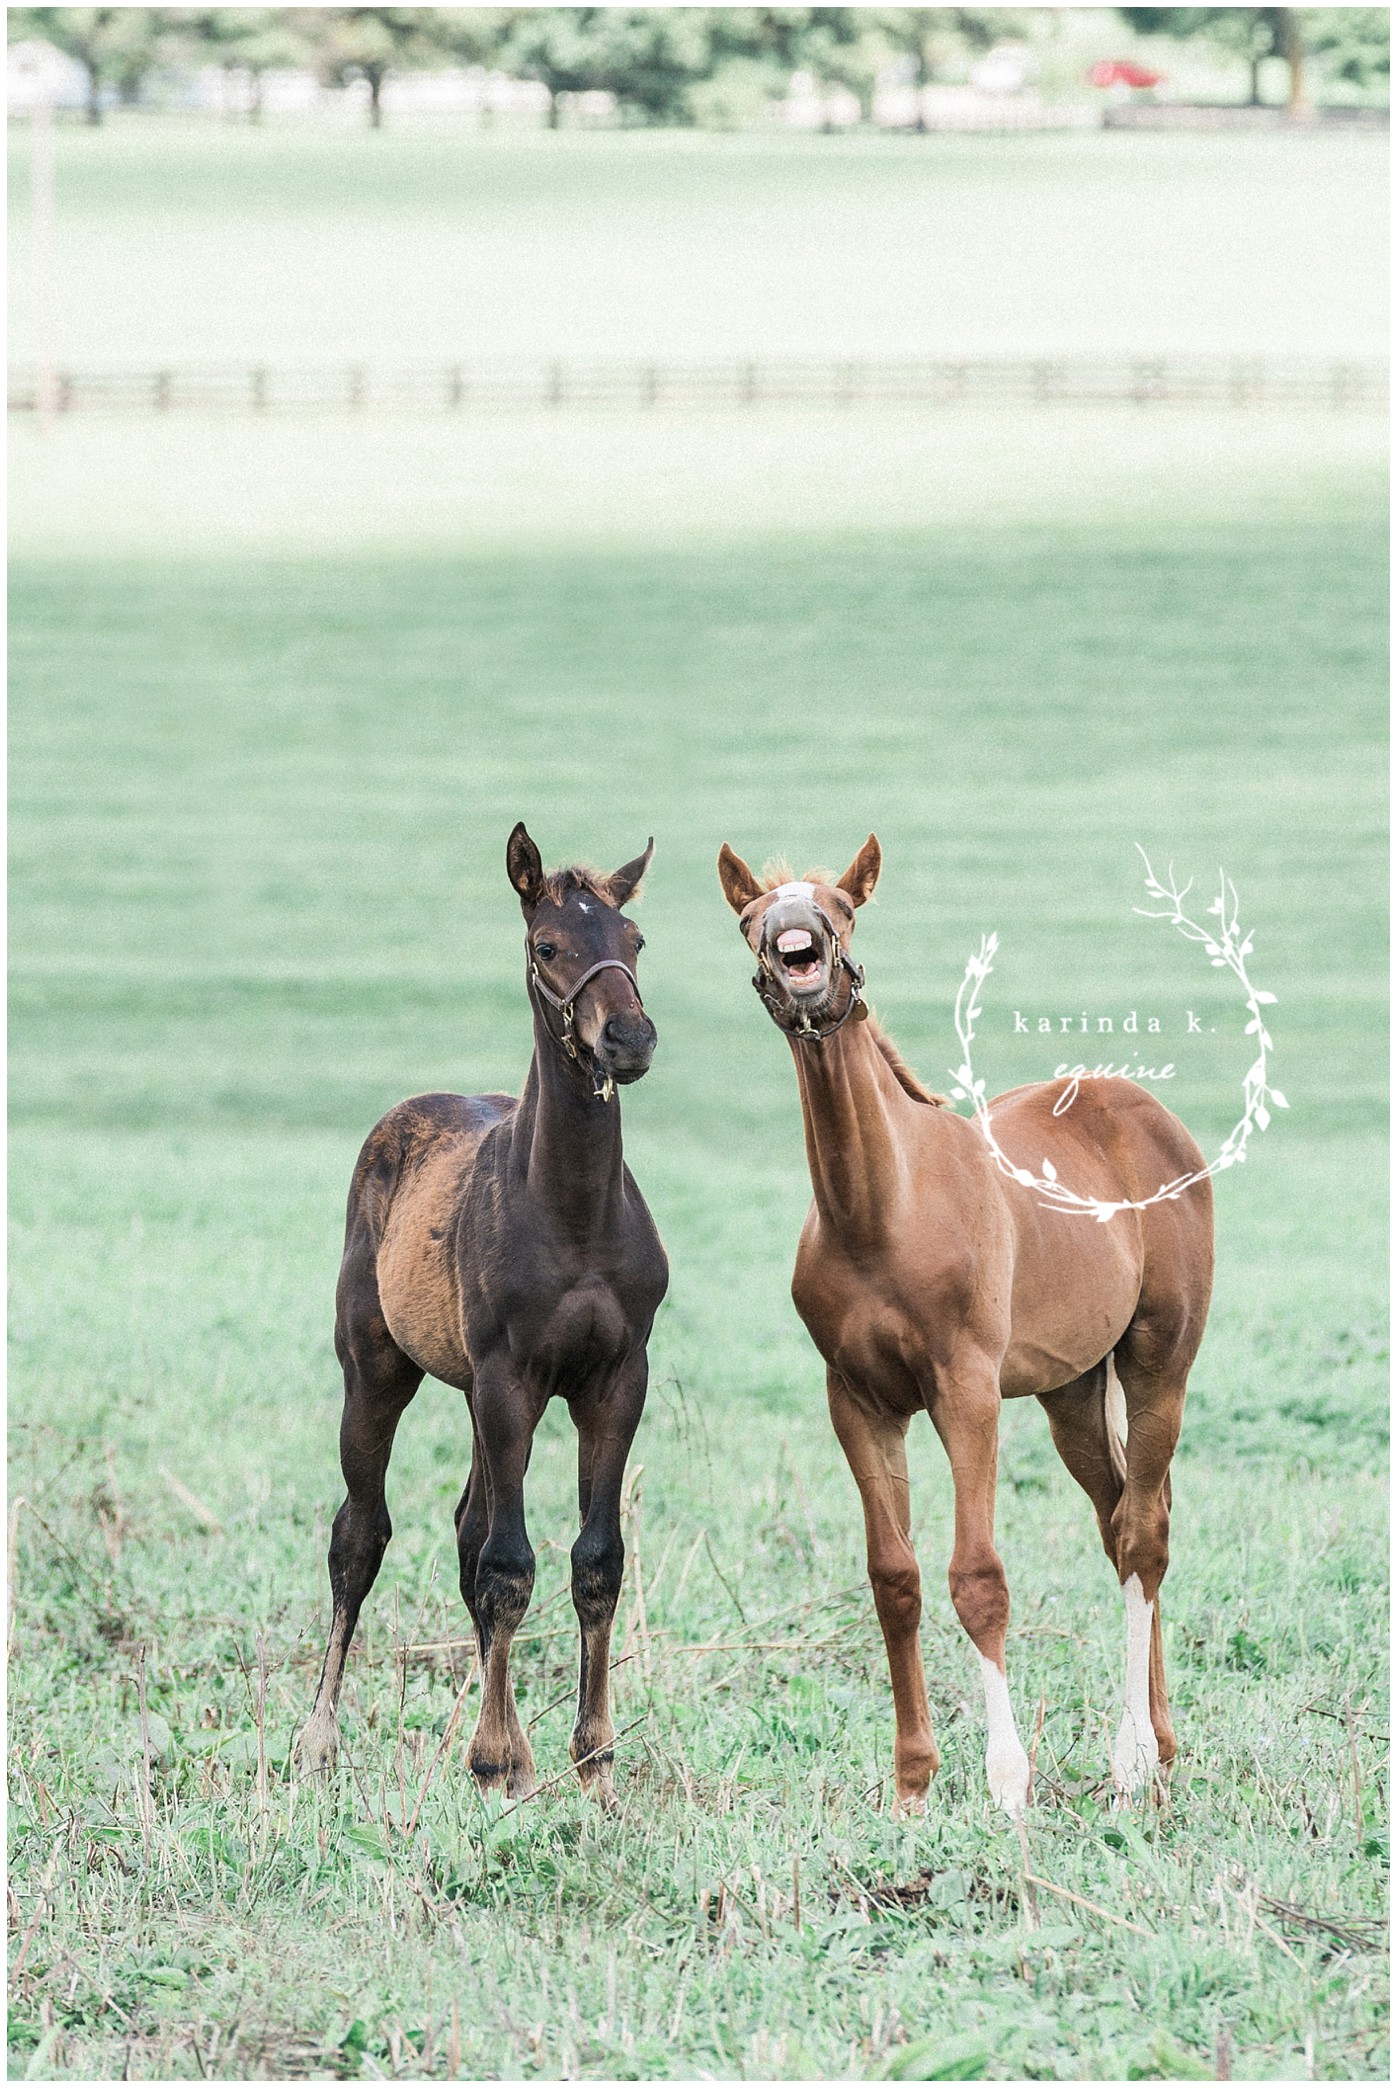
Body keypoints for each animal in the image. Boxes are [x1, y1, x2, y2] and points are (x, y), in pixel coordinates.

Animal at [297, 824, 668, 1805]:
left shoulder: (616, 1378)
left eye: (634, 938)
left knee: (467, 1526)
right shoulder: (510, 1378)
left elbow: (594, 1560)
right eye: (547, 946)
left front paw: (593, 1756)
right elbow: (507, 1565)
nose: (628, 1037)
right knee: (360, 1534)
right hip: (378, 1369)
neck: (572, 1212)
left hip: (474, 1392)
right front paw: (501, 1757)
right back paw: (318, 1737)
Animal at [717, 835, 1213, 1815]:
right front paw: (912, 1786)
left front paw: (1005, 1783)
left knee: (1144, 1535)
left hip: (1157, 1363)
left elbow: (977, 1579)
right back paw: (1165, 1744)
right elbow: (894, 1580)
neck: (882, 1213)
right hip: (1070, 1392)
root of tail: (1142, 1109)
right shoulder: (857, 1402)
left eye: (841, 905)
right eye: (751, 915)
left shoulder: (967, 1394)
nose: (796, 948)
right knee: (1123, 1520)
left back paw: (1131, 1757)